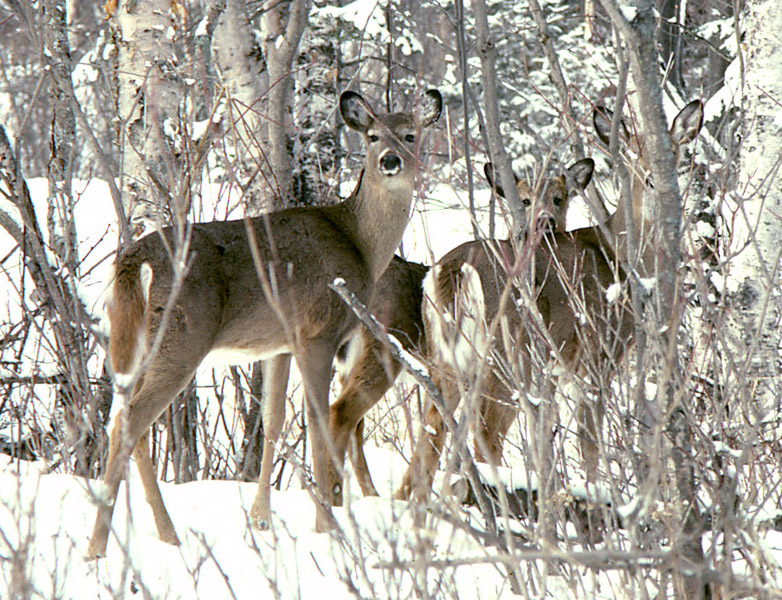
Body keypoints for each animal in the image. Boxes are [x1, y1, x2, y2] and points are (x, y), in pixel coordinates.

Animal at [86, 85, 444, 556]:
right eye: (371, 136)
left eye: (409, 134)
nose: (389, 161)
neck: (360, 243)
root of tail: (132, 261)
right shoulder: (318, 331)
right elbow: (318, 420)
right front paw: (329, 527)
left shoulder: (280, 344)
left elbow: (272, 421)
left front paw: (260, 520)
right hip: (183, 337)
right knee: (128, 420)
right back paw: (97, 547)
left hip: (133, 342)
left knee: (133, 422)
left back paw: (168, 536)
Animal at [324, 158, 596, 506]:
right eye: (524, 200)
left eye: (559, 198)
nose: (544, 222)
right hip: (386, 349)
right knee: (344, 413)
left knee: (361, 425)